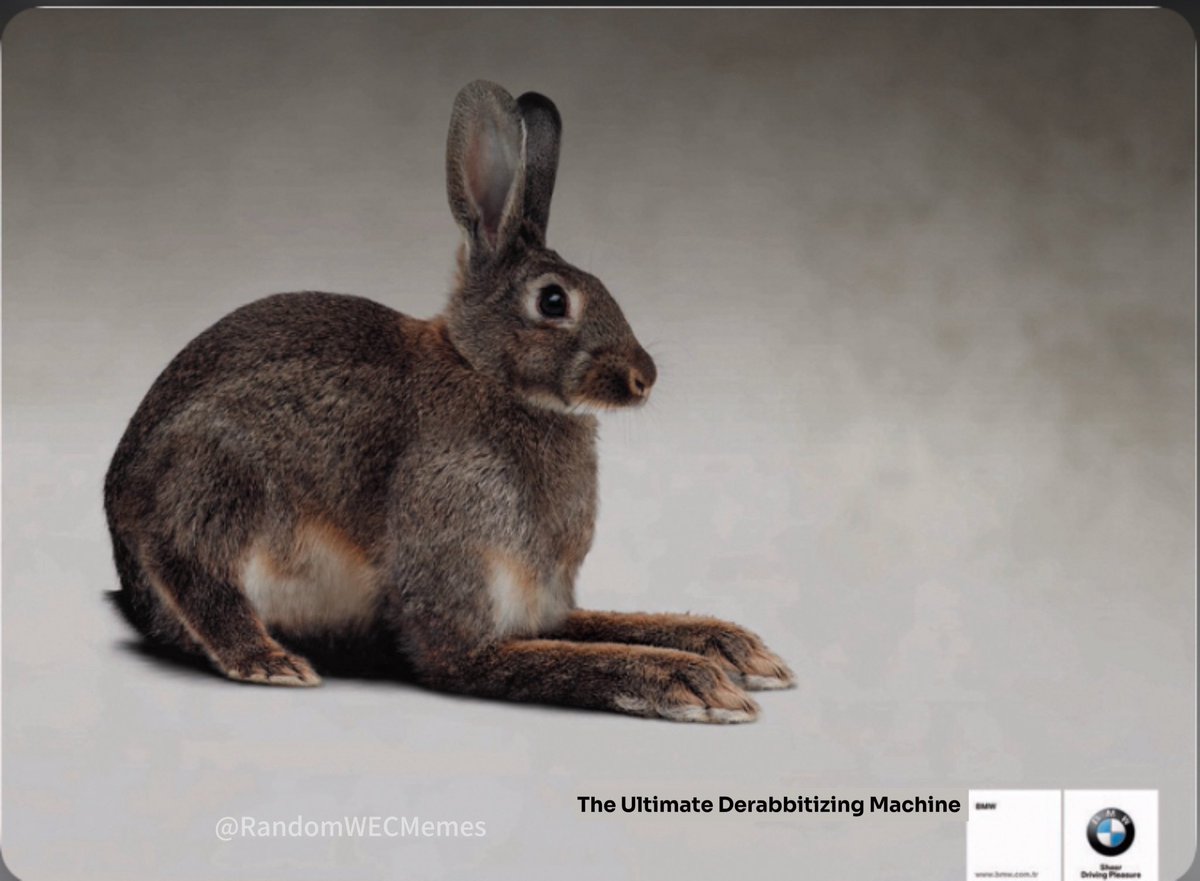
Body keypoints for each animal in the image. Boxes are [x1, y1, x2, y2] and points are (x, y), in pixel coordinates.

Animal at [104, 80, 795, 723]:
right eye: (553, 301)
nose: (642, 377)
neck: (485, 375)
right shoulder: (458, 580)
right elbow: (540, 662)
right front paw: (690, 682)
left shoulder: (539, 604)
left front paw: (737, 652)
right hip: (219, 484)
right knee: (194, 571)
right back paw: (268, 660)